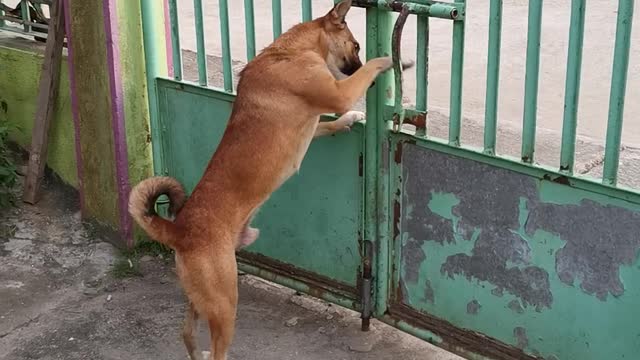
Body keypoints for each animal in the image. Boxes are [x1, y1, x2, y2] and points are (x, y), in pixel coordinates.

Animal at [129, 1, 416, 358]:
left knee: (187, 334)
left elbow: (331, 123)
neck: (291, 50)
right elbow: (372, 69)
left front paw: (350, 118)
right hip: (224, 301)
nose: (357, 65)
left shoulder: (314, 127)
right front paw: (394, 60)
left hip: (199, 297)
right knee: (217, 346)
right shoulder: (339, 93)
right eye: (357, 46)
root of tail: (178, 230)